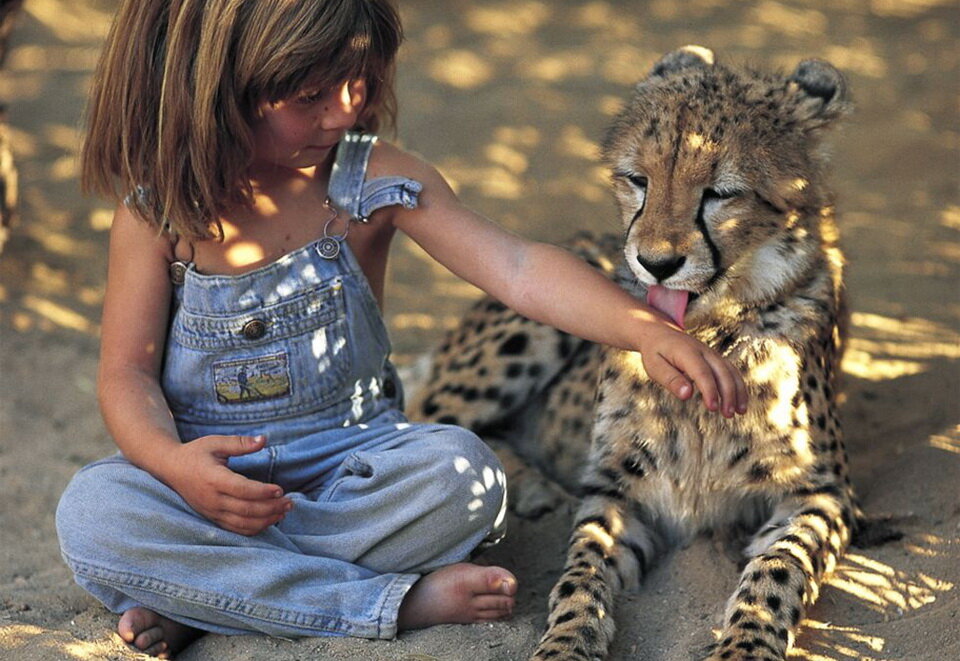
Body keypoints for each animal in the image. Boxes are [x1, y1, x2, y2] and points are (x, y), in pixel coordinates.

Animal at [408, 47, 860, 660]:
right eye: (637, 180)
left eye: (721, 192)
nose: (656, 263)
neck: (705, 337)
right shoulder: (616, 490)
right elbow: (581, 570)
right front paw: (566, 642)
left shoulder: (821, 496)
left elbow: (778, 571)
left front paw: (745, 646)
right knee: (424, 421)